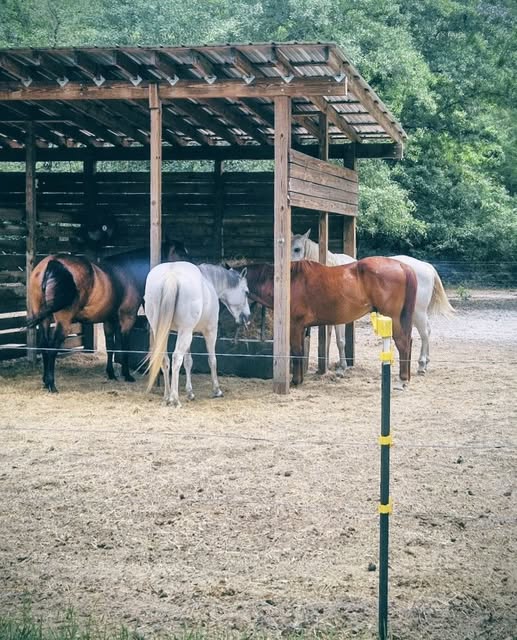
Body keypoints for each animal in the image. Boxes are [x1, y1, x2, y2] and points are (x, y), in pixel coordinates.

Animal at [145, 262, 251, 407]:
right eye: (246, 292)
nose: (247, 317)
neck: (208, 280)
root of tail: (171, 275)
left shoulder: (186, 335)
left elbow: (188, 362)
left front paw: (190, 392)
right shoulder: (210, 332)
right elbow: (212, 360)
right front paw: (217, 390)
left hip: (162, 331)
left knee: (164, 359)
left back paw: (167, 396)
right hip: (185, 332)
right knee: (176, 358)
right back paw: (174, 399)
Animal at [245, 258, 418, 388]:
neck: (289, 282)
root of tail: (402, 266)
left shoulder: (294, 326)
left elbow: (296, 352)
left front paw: (295, 381)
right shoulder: (300, 328)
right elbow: (300, 352)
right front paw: (300, 379)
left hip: (393, 318)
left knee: (402, 344)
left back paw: (402, 380)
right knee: (408, 342)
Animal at [291, 230, 455, 374]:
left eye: (297, 249)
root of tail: (426, 267)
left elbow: (340, 341)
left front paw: (342, 368)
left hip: (417, 312)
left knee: (425, 333)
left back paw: (421, 364)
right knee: (427, 331)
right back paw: (425, 362)